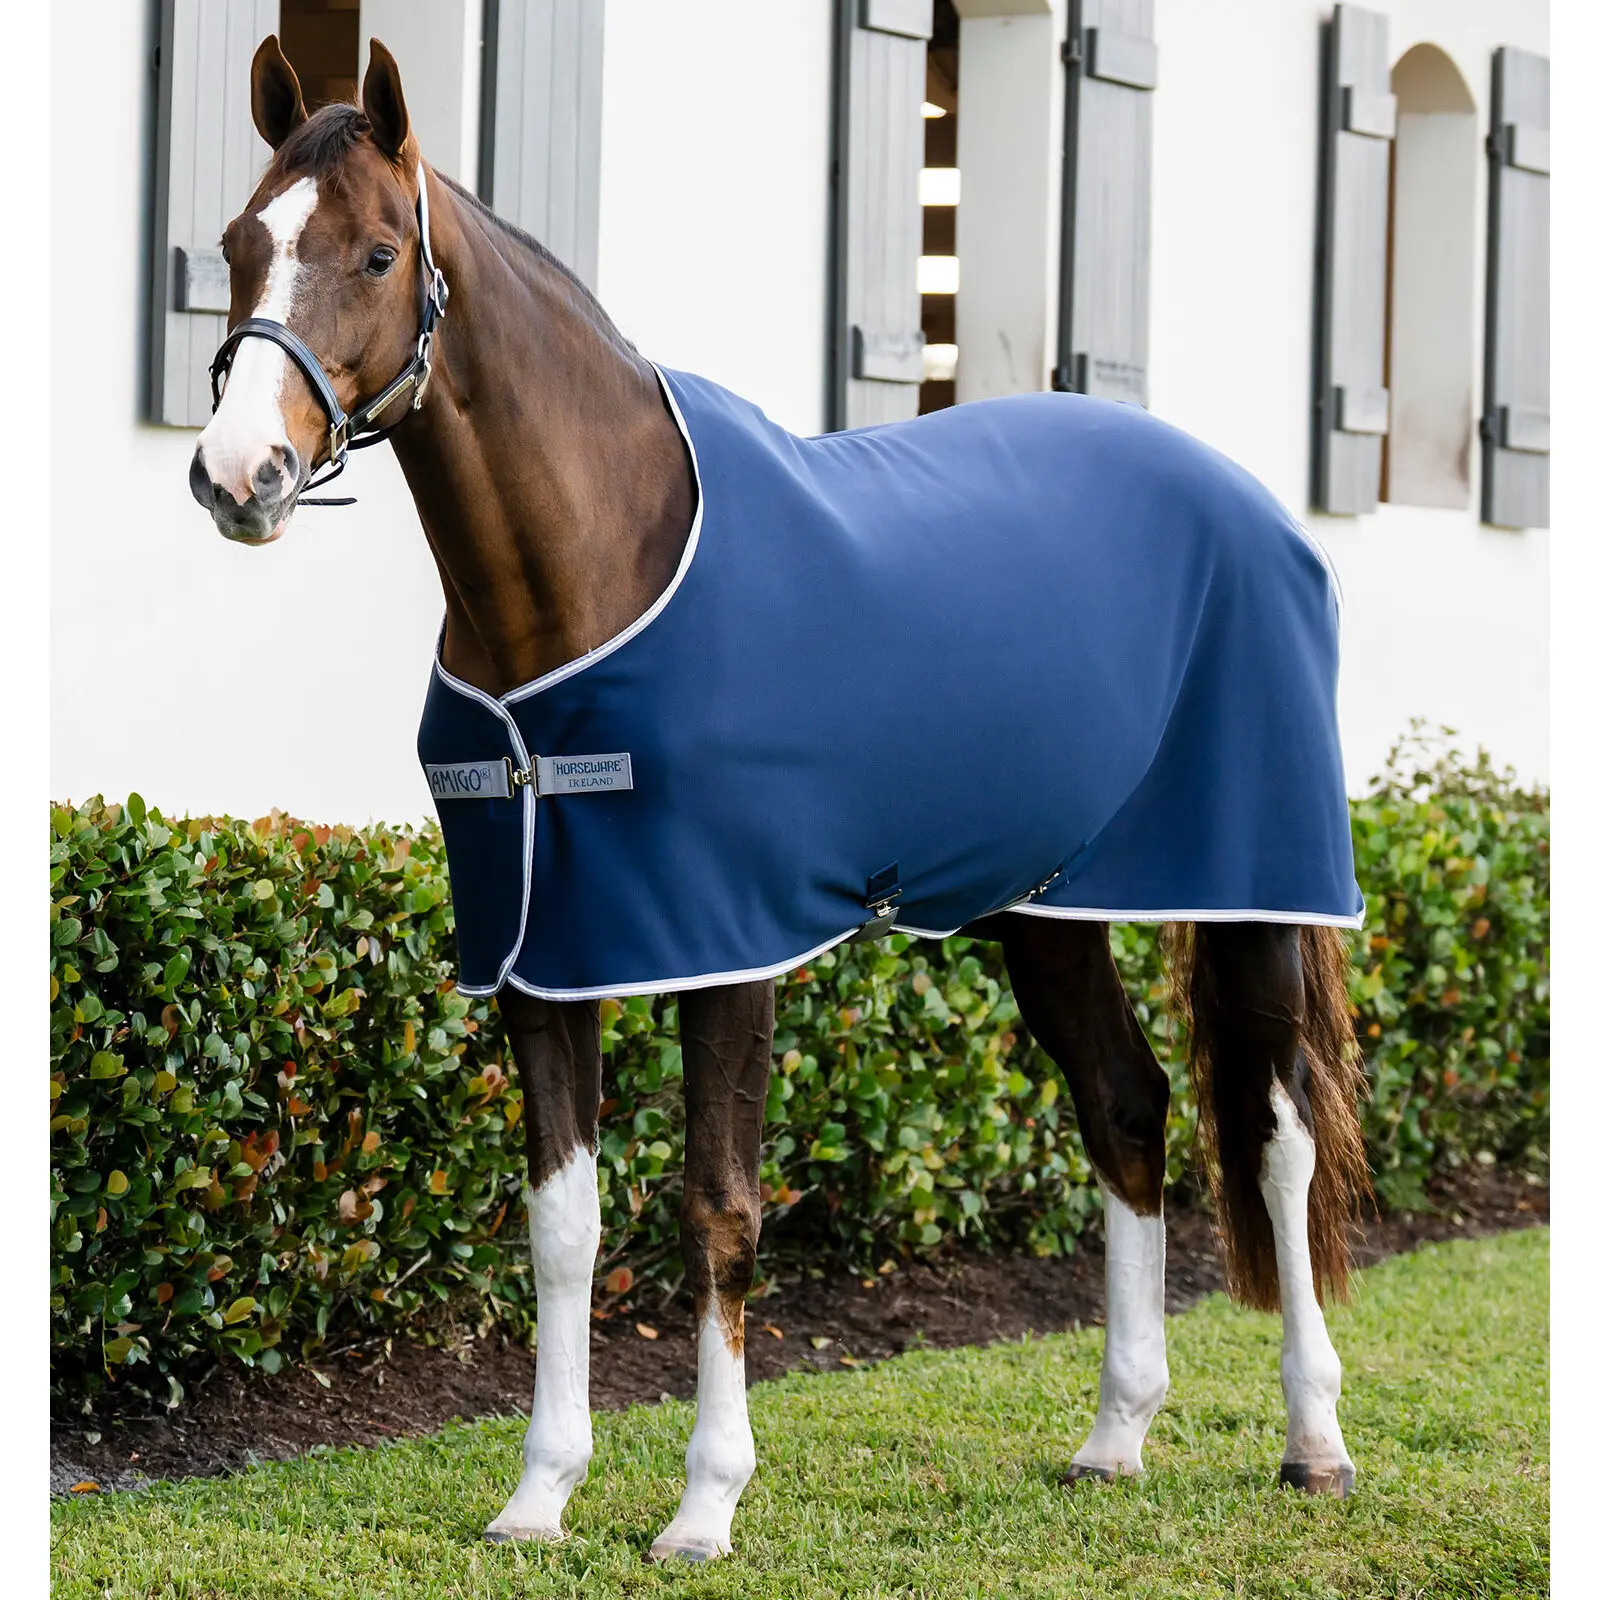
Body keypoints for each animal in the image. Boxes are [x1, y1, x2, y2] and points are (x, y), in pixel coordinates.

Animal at [189, 36, 1370, 1562]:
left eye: (381, 252)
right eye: (238, 243)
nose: (238, 475)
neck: (597, 568)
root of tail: (1255, 506)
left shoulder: (724, 946)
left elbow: (720, 1210)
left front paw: (703, 1503)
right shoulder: (541, 956)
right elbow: (562, 1227)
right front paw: (540, 1493)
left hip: (1256, 887)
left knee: (1280, 1137)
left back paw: (1314, 1439)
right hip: (1049, 911)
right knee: (1127, 1105)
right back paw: (1115, 1434)